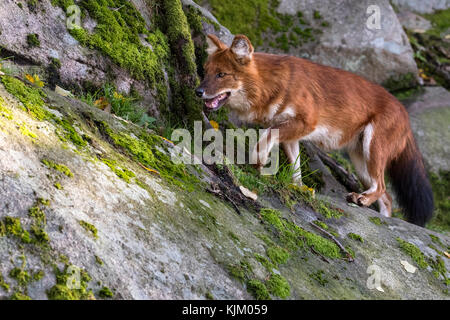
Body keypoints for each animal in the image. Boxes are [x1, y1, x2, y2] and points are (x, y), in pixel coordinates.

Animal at [195, 33, 434, 226]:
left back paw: (363, 198)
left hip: (372, 148)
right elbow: (295, 168)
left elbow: (266, 135)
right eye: (205, 72)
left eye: (221, 75)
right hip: (359, 160)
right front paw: (298, 188)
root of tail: (405, 113)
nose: (198, 91)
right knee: (388, 198)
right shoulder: (291, 134)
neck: (273, 84)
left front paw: (258, 160)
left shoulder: (306, 123)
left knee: (383, 187)